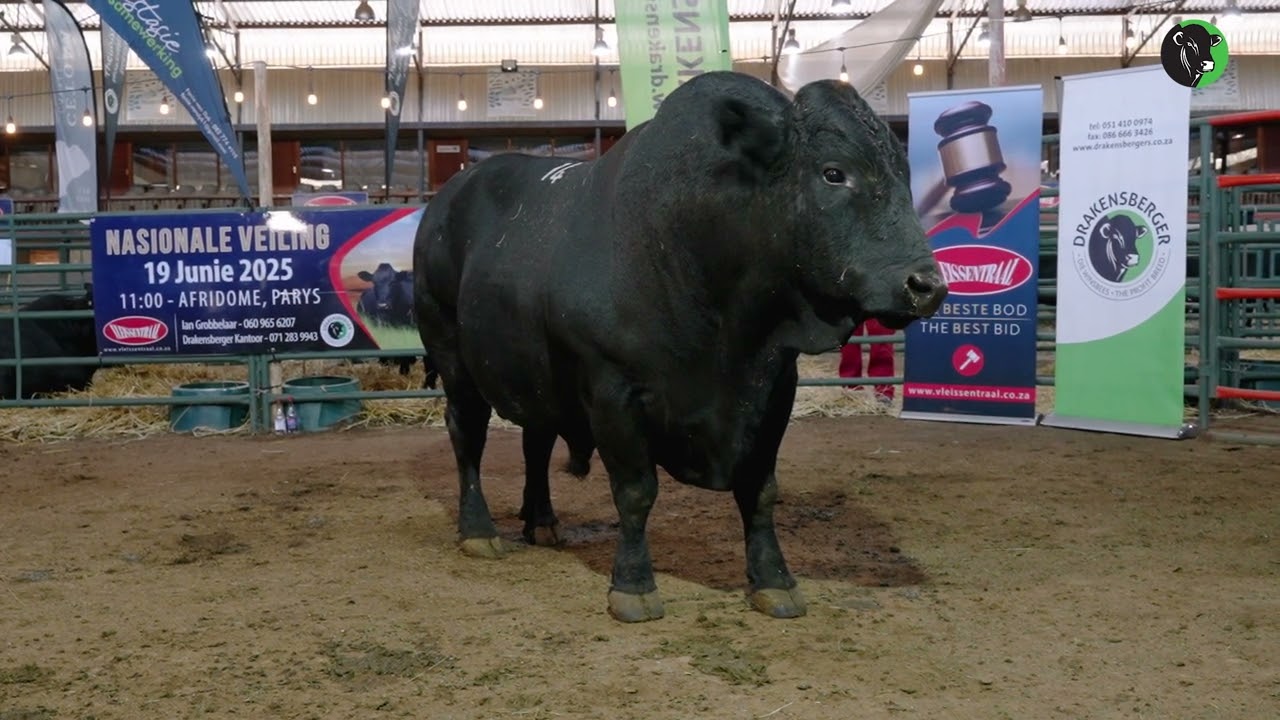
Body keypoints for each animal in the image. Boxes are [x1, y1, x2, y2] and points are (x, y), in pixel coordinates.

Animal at [412, 71, 948, 623]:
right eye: (834, 173)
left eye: (904, 173)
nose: (927, 286)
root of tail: (448, 197)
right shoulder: (613, 390)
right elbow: (635, 491)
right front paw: (633, 585)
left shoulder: (775, 387)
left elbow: (761, 491)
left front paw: (774, 580)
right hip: (452, 356)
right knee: (467, 436)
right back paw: (478, 530)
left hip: (535, 376)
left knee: (535, 441)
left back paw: (541, 520)